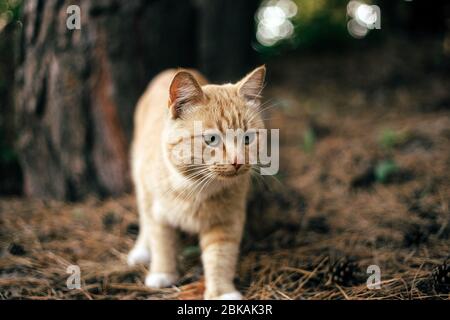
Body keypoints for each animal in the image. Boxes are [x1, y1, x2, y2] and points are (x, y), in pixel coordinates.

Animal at [126, 65, 266, 300]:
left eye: (247, 138)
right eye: (212, 139)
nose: (237, 161)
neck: (194, 187)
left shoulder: (226, 221)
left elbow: (220, 257)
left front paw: (221, 292)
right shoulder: (158, 214)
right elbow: (161, 243)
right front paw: (162, 273)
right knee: (145, 219)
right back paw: (142, 250)